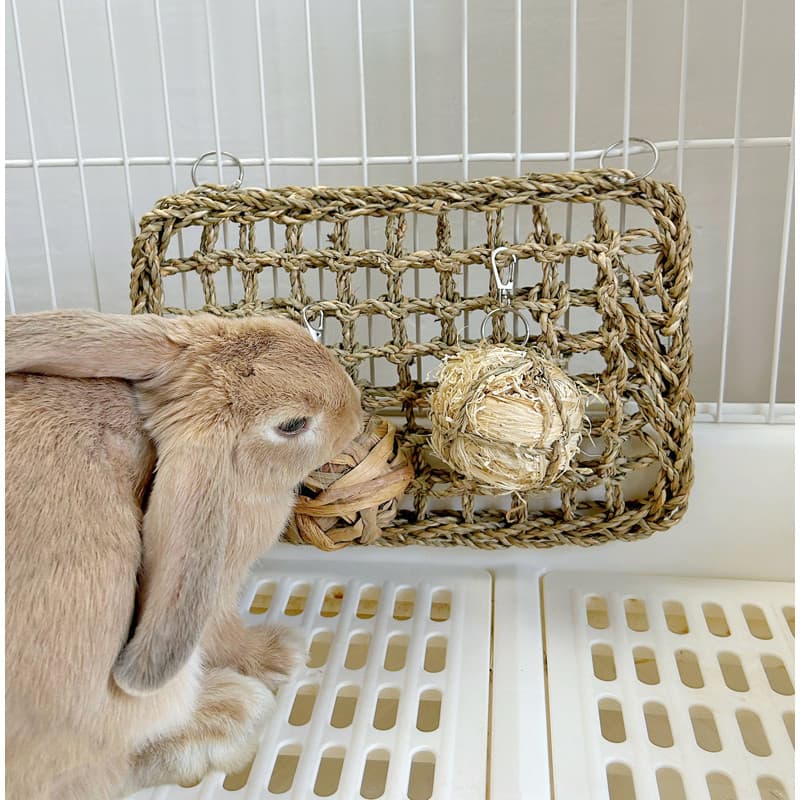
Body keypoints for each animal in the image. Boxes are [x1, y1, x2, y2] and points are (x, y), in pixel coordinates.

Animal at [5, 310, 363, 800]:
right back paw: (232, 712)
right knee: (112, 766)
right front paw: (279, 656)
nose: (358, 413)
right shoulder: (212, 590)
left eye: (291, 328)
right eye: (292, 425)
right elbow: (224, 634)